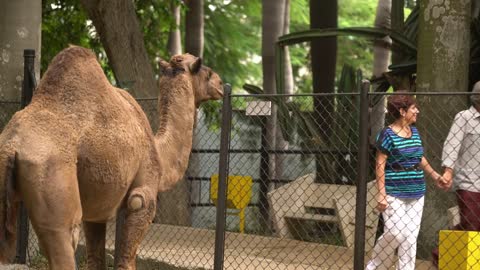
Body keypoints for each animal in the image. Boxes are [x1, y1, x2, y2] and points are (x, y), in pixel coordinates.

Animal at [0, 45, 223, 268]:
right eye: (205, 70)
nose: (221, 83)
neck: (159, 153)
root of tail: (12, 146)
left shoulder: (95, 209)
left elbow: (95, 258)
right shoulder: (142, 197)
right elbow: (126, 259)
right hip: (53, 176)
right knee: (63, 239)